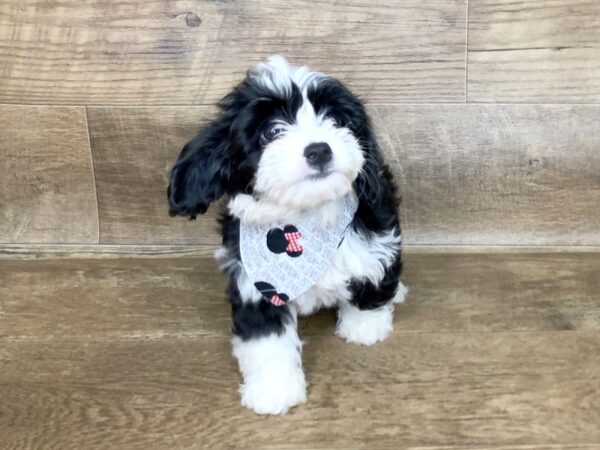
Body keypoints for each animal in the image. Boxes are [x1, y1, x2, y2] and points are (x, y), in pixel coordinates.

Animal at [166, 55, 406, 414]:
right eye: (272, 131)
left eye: (335, 120)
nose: (319, 150)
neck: (304, 220)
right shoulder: (255, 283)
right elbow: (266, 340)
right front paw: (273, 389)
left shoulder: (375, 238)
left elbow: (372, 278)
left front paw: (364, 327)